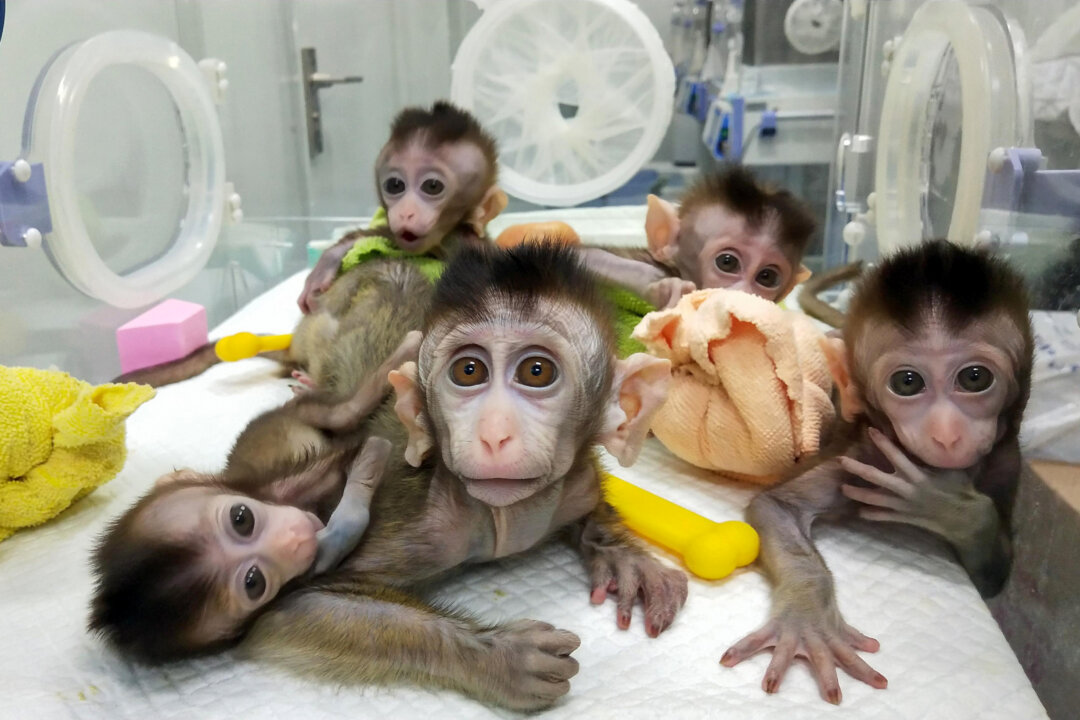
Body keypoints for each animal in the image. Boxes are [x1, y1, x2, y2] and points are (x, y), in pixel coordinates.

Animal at [89, 242, 686, 712]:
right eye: (468, 371)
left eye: (537, 372)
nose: (494, 434)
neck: (502, 517)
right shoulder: (413, 517)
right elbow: (290, 612)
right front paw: (497, 658)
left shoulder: (572, 486)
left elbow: (589, 506)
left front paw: (621, 554)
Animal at [718, 239, 1034, 704]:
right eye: (907, 383)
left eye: (975, 378)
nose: (946, 433)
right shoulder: (863, 455)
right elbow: (776, 507)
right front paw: (807, 617)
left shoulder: (1007, 460)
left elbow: (994, 572)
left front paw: (946, 505)